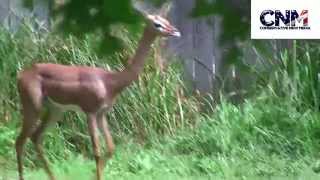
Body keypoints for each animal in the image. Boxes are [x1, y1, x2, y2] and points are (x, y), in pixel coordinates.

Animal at [15, 11, 180, 180]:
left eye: (166, 20)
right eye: (157, 24)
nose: (175, 32)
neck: (110, 82)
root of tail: (22, 74)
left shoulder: (102, 113)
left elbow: (111, 148)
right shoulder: (91, 112)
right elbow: (97, 152)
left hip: (55, 110)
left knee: (35, 138)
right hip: (33, 106)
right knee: (20, 141)